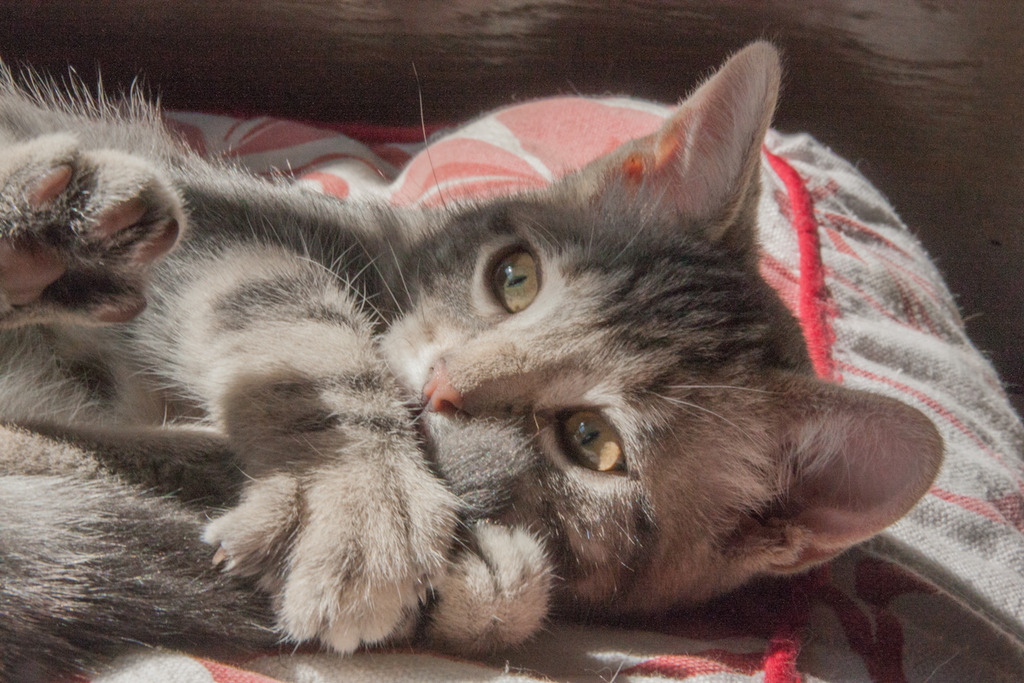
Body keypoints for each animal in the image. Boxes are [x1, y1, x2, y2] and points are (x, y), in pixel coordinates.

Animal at [2, 44, 942, 683]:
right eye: (514, 278)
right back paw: (51, 229)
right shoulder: (226, 229)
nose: (444, 383)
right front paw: (363, 496)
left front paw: (485, 581)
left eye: (592, 439)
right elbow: (297, 319)